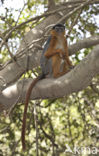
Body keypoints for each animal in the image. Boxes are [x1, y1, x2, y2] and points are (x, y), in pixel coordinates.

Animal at [21, 23, 72, 151]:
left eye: (61, 28)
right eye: (57, 28)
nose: (59, 30)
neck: (59, 38)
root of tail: (44, 72)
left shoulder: (64, 40)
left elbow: (66, 55)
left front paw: (71, 64)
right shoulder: (53, 39)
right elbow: (47, 54)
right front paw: (59, 51)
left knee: (63, 57)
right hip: (48, 68)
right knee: (56, 56)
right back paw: (57, 74)